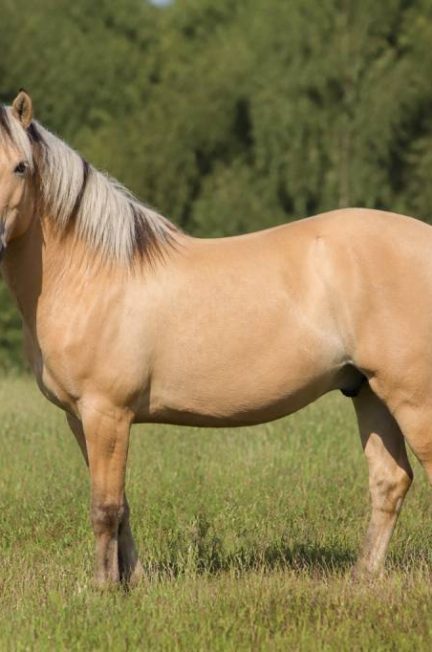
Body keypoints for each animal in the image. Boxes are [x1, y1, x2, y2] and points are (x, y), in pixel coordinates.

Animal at [0, 90, 428, 588]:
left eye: (21, 167)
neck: (94, 274)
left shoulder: (106, 412)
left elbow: (104, 509)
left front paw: (104, 588)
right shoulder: (81, 418)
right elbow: (121, 507)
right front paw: (134, 582)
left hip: (412, 397)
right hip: (368, 391)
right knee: (389, 480)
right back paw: (361, 576)